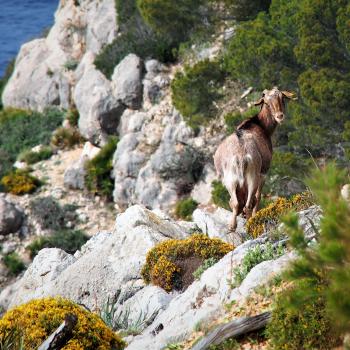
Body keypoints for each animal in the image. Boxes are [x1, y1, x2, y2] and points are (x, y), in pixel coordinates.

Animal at [213, 86, 296, 231]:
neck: (259, 125)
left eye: (282, 98)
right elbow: (258, 197)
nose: (279, 116)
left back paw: (232, 226)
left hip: (229, 180)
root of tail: (240, 157)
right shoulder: (264, 173)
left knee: (235, 202)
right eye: (266, 103)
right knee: (248, 203)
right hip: (253, 176)